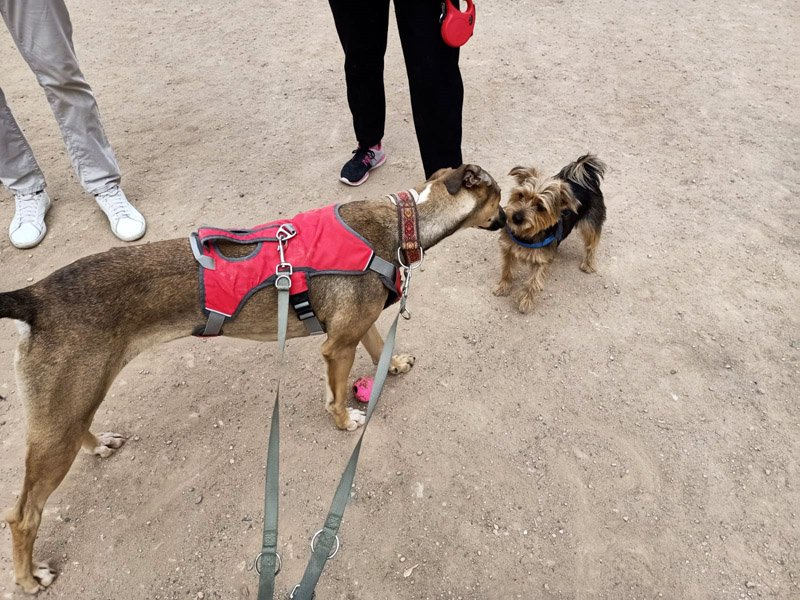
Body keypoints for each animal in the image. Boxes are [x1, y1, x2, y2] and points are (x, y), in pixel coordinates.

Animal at [0, 164, 504, 594]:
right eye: (499, 198)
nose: (506, 221)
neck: (404, 221)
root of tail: (35, 297)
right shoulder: (337, 346)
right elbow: (337, 395)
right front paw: (345, 421)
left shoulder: (359, 326)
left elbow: (380, 347)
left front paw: (393, 366)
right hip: (63, 414)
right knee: (23, 516)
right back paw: (29, 578)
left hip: (75, 399)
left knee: (77, 433)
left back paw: (99, 443)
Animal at [493, 154, 607, 313]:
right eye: (520, 195)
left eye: (541, 207)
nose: (516, 217)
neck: (526, 235)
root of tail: (586, 177)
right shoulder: (507, 250)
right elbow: (506, 270)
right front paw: (503, 287)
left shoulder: (540, 261)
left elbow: (533, 282)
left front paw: (526, 301)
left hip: (590, 224)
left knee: (591, 244)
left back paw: (588, 264)